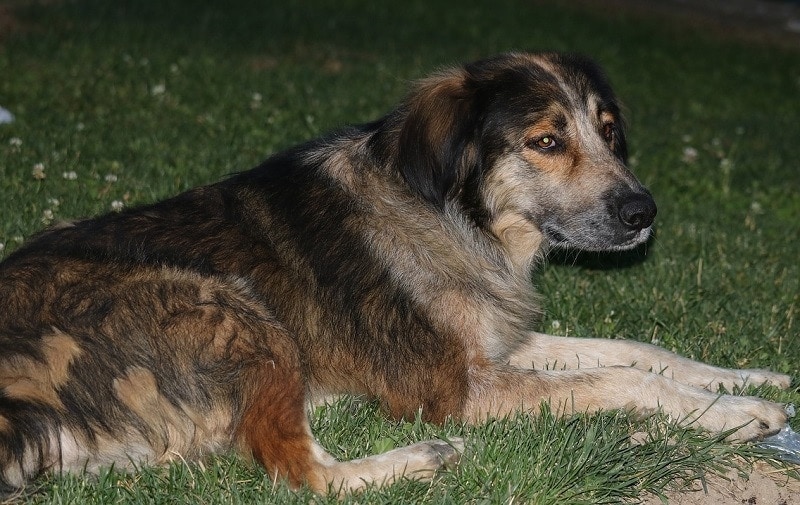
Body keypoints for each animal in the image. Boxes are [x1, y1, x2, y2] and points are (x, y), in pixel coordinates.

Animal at [0, 53, 792, 494]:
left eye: (608, 131)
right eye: (545, 141)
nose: (642, 211)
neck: (454, 212)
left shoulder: (492, 344)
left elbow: (636, 350)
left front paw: (744, 378)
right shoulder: (455, 388)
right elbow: (619, 380)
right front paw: (732, 413)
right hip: (235, 308)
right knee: (299, 475)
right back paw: (422, 458)